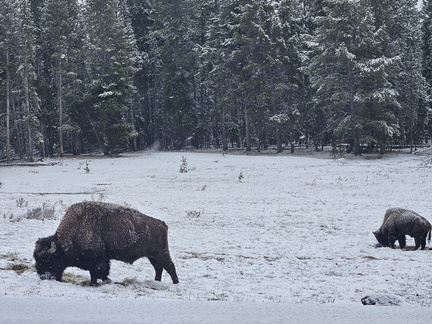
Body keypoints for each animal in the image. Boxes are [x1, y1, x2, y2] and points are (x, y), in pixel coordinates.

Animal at [33, 201, 179, 284]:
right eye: (36, 258)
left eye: (46, 259)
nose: (42, 276)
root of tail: (162, 224)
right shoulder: (103, 259)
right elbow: (102, 272)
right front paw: (107, 280)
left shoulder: (96, 260)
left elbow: (95, 273)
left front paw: (95, 283)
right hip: (152, 256)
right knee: (158, 268)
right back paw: (157, 281)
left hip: (161, 253)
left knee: (169, 266)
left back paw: (175, 283)